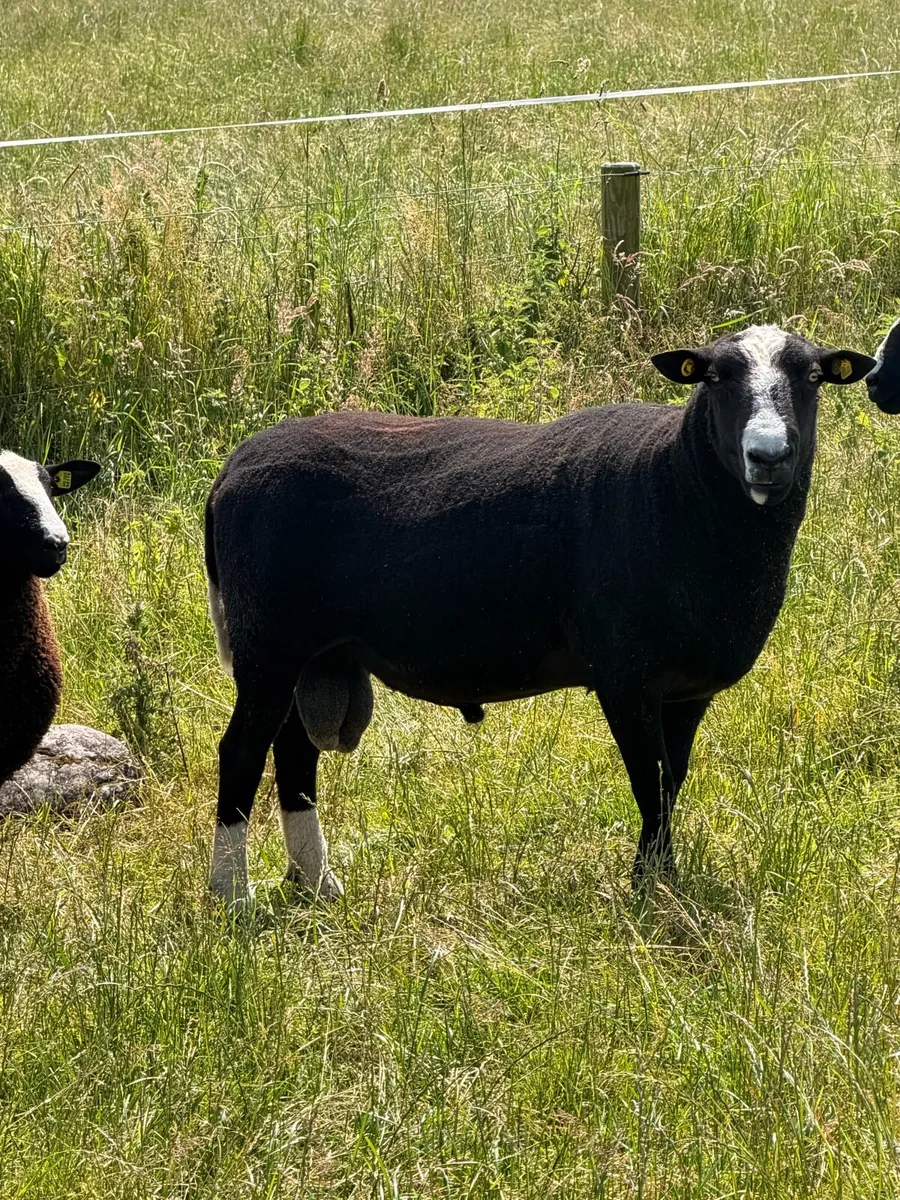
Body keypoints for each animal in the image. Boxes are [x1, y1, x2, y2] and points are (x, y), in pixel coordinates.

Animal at [204, 326, 875, 909]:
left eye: (813, 376)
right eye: (713, 377)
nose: (768, 455)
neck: (676, 486)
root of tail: (232, 468)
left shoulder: (687, 690)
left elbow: (671, 781)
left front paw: (661, 881)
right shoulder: (625, 674)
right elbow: (649, 781)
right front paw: (649, 891)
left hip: (315, 654)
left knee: (294, 755)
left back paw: (316, 884)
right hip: (269, 645)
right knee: (240, 752)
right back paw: (232, 896)